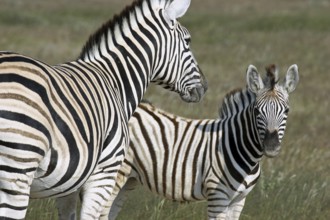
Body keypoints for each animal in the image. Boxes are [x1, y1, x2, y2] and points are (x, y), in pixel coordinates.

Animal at [0, 0, 206, 219]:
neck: (114, 80)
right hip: (18, 168)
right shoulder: (105, 172)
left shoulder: (69, 184)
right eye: (188, 41)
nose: (205, 87)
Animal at [103, 64, 300, 219]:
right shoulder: (218, 196)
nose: (271, 147)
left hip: (129, 177)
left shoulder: (238, 200)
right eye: (257, 110)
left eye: (287, 110)